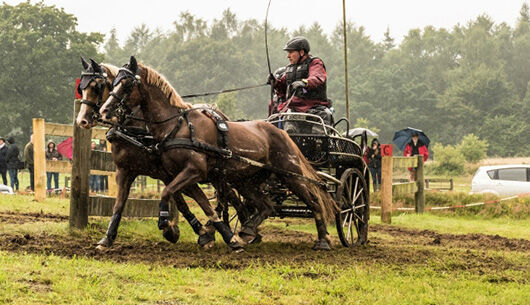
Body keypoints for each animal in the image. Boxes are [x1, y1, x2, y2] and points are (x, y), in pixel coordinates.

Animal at [75, 57, 244, 249]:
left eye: (96, 86)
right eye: (81, 88)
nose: (82, 120)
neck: (136, 128)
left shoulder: (164, 172)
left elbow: (179, 201)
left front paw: (179, 230)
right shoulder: (125, 170)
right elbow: (119, 204)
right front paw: (108, 238)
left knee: (229, 195)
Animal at [99, 56, 338, 249]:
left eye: (127, 83)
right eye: (113, 82)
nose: (105, 111)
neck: (177, 126)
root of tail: (281, 131)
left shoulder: (192, 171)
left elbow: (167, 193)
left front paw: (167, 226)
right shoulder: (181, 175)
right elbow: (204, 205)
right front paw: (223, 237)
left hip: (290, 175)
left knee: (314, 202)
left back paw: (323, 240)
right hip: (246, 180)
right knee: (266, 206)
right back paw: (247, 231)